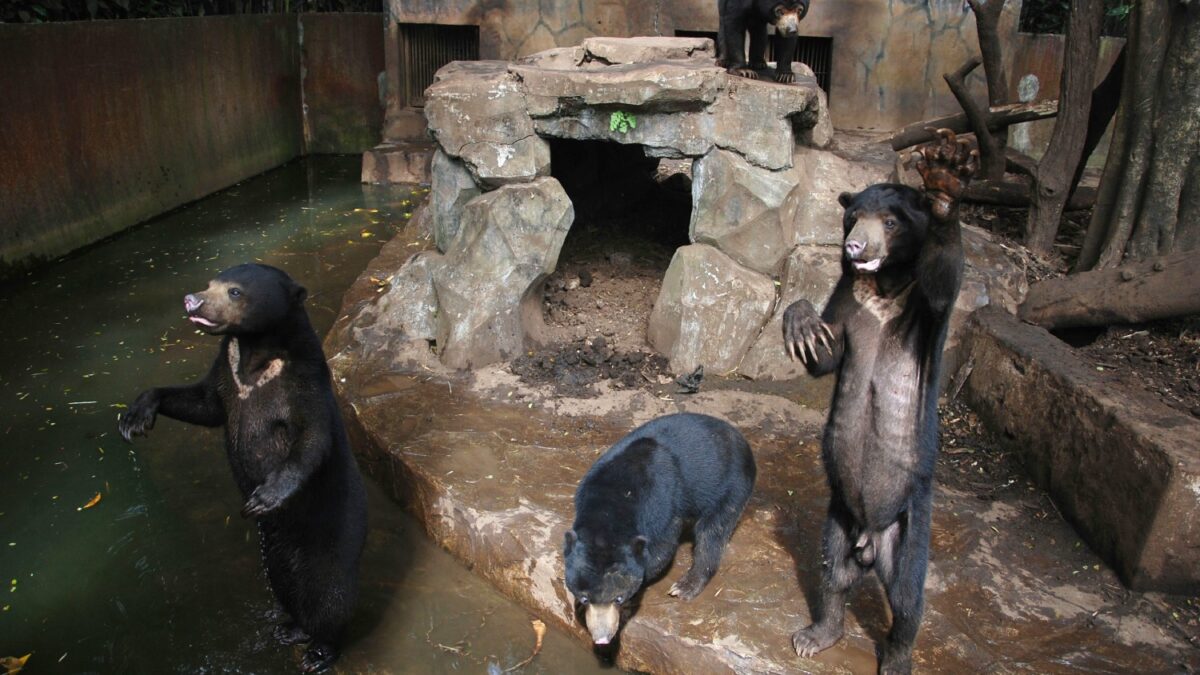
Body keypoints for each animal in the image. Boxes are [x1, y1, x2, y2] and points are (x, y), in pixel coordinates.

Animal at [121, 263, 367, 672]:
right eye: (209, 283)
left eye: (234, 291)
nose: (192, 299)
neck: (254, 358)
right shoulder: (226, 373)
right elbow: (203, 404)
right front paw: (134, 417)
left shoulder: (303, 382)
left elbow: (312, 439)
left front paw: (263, 498)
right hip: (279, 556)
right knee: (288, 586)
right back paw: (289, 628)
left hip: (332, 542)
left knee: (330, 596)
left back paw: (320, 650)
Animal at [559, 410, 748, 648]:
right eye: (585, 597)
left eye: (619, 597)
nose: (602, 639)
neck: (611, 504)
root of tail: (738, 436)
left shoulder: (661, 509)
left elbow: (662, 551)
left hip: (731, 488)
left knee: (712, 534)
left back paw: (685, 586)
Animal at [782, 128, 979, 667]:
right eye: (853, 217)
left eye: (890, 221)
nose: (854, 246)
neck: (883, 285)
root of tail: (870, 538)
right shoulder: (848, 294)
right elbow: (827, 353)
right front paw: (801, 323)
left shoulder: (923, 311)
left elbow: (943, 277)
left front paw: (947, 179)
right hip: (839, 515)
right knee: (831, 572)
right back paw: (816, 634)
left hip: (908, 522)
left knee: (909, 597)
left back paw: (895, 659)